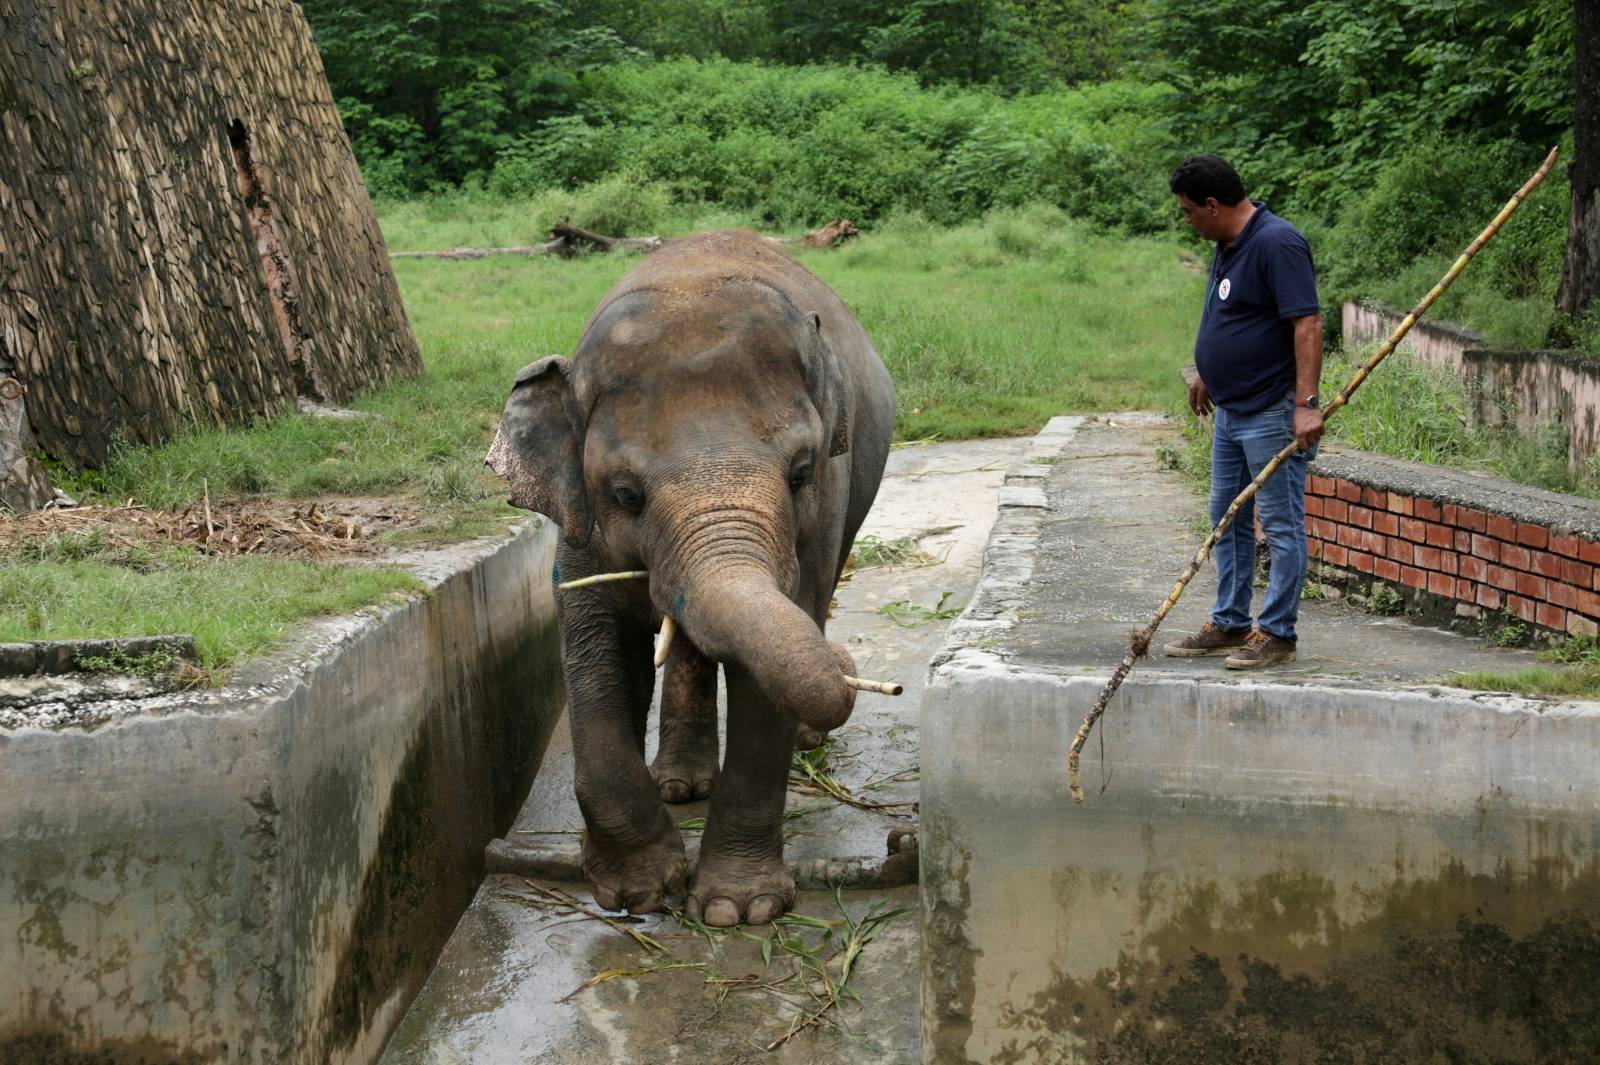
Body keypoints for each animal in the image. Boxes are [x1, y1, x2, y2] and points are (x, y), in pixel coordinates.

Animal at [480, 230, 896, 921]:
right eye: (625, 494)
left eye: (801, 472)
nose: (851, 670)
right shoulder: (578, 525)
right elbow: (596, 654)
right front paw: (637, 890)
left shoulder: (821, 518)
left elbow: (767, 675)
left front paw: (736, 910)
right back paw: (680, 785)